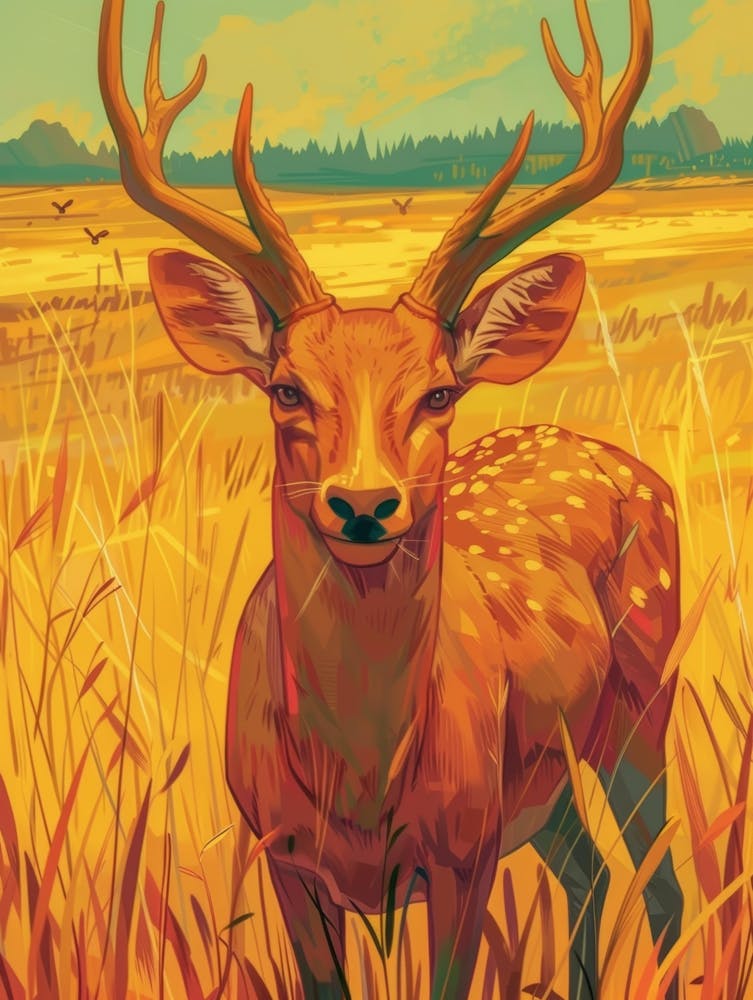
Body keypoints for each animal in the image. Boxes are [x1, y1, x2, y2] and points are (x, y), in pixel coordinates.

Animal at [99, 0, 683, 997]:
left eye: (439, 392)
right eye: (285, 388)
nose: (364, 505)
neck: (363, 785)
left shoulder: (465, 846)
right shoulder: (281, 852)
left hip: (645, 704)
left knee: (666, 883)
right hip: (554, 783)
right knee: (591, 872)